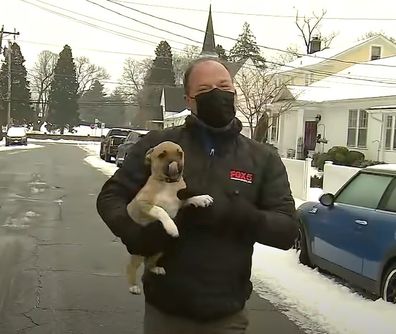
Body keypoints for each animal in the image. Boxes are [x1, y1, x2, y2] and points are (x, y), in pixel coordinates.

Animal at [127, 141, 213, 294]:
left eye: (180, 153)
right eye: (162, 155)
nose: (175, 163)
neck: (168, 184)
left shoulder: (180, 202)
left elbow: (189, 198)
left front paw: (201, 198)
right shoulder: (143, 204)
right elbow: (160, 210)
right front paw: (172, 227)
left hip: (159, 251)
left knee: (149, 263)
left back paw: (156, 268)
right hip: (138, 253)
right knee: (131, 267)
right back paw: (133, 286)